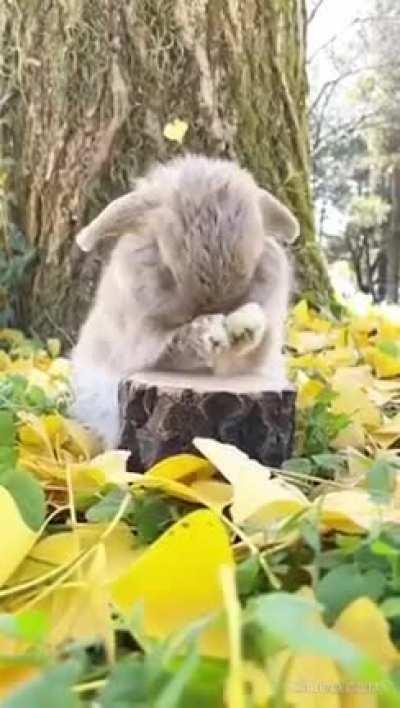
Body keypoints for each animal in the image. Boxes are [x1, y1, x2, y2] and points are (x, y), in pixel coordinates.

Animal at [70, 154, 299, 447]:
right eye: (165, 263)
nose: (217, 309)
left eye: (256, 259)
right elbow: (175, 344)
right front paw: (210, 332)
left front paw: (246, 326)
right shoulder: (141, 346)